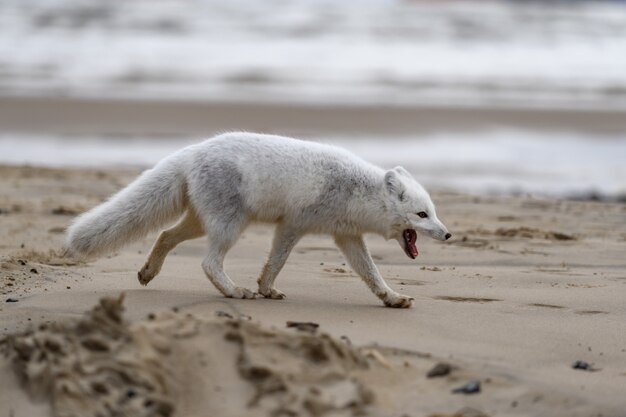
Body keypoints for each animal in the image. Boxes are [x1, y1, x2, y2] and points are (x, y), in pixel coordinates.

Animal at [66, 132, 448, 308]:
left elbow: (371, 273)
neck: (358, 193)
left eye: (434, 212)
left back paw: (148, 272)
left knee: (165, 236)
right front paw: (263, 288)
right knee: (208, 263)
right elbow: (277, 260)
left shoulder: (347, 237)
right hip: (230, 226)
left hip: (203, 222)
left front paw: (392, 298)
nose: (447, 235)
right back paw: (235, 291)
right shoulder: (293, 225)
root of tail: (193, 150)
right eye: (422, 214)